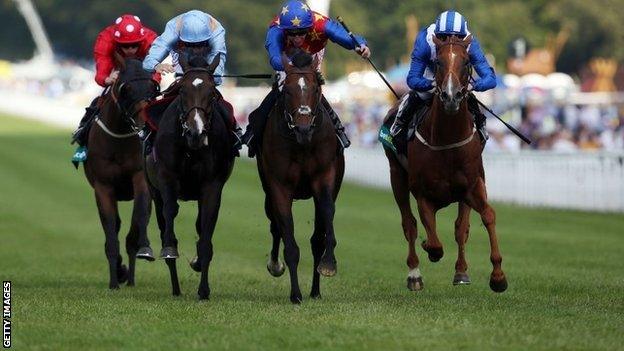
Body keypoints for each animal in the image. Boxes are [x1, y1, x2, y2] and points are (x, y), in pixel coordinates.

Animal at [83, 54, 160, 288]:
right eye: (126, 88)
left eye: (153, 87)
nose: (145, 124)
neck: (120, 139)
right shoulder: (103, 186)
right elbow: (110, 228)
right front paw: (114, 279)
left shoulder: (140, 177)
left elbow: (140, 216)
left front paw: (144, 248)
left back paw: (131, 278)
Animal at [145, 54, 235, 300]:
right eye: (182, 91)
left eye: (212, 93)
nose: (197, 132)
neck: (191, 148)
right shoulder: (166, 179)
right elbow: (170, 214)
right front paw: (169, 250)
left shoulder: (212, 186)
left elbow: (205, 231)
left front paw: (203, 289)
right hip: (153, 189)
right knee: (163, 219)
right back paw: (175, 287)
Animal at [258, 52, 346, 306]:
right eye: (287, 90)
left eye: (316, 88)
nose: (303, 128)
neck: (303, 144)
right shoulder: (279, 186)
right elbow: (287, 236)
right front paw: (295, 293)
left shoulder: (325, 177)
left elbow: (327, 215)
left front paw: (328, 263)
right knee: (274, 224)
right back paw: (275, 265)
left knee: (316, 236)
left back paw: (316, 290)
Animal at [386, 35, 508, 294]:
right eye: (438, 63)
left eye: (467, 62)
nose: (451, 96)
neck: (447, 140)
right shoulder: (423, 193)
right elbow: (432, 240)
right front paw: (429, 249)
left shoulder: (472, 185)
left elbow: (486, 217)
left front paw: (498, 276)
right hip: (396, 176)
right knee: (409, 224)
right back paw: (414, 274)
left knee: (461, 227)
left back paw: (461, 272)